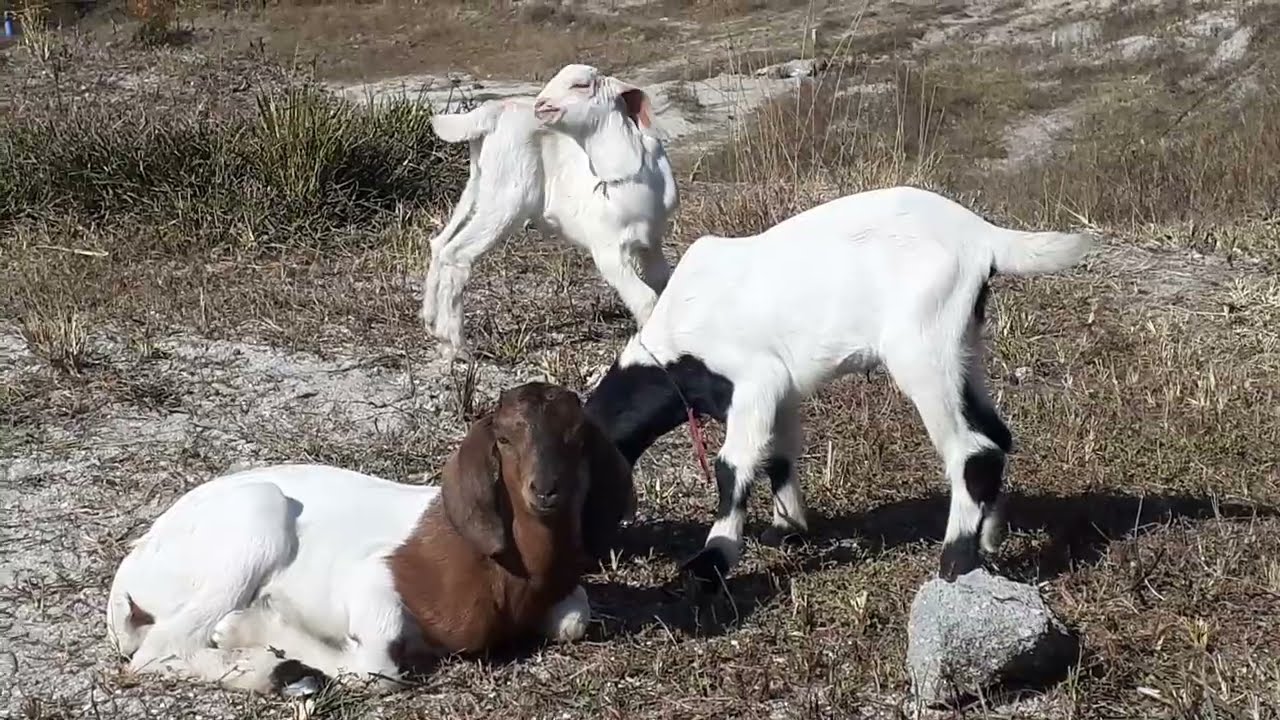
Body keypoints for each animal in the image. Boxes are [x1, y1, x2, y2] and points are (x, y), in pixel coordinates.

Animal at [105, 382, 634, 695]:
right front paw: (252, 626)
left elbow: (573, 620)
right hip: (255, 520)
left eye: (578, 440)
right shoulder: (374, 577)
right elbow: (376, 667)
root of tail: (131, 571)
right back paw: (278, 667)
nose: (546, 490)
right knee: (159, 649)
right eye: (503, 439)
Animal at [421, 63, 678, 359]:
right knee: (457, 254)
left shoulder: (652, 242)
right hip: (507, 196)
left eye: (581, 85)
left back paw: (432, 324)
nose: (541, 105)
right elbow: (646, 299)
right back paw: (455, 345)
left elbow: (665, 285)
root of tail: (493, 113)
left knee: (440, 243)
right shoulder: (608, 249)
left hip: (479, 187)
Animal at [582, 186, 1094, 588]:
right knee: (997, 434)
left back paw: (955, 560)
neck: (673, 342)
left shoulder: (755, 381)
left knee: (973, 450)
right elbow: (779, 457)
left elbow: (733, 466)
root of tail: (982, 237)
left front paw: (713, 559)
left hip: (921, 349)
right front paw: (787, 529)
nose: (600, 553)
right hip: (964, 346)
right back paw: (989, 541)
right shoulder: (782, 392)